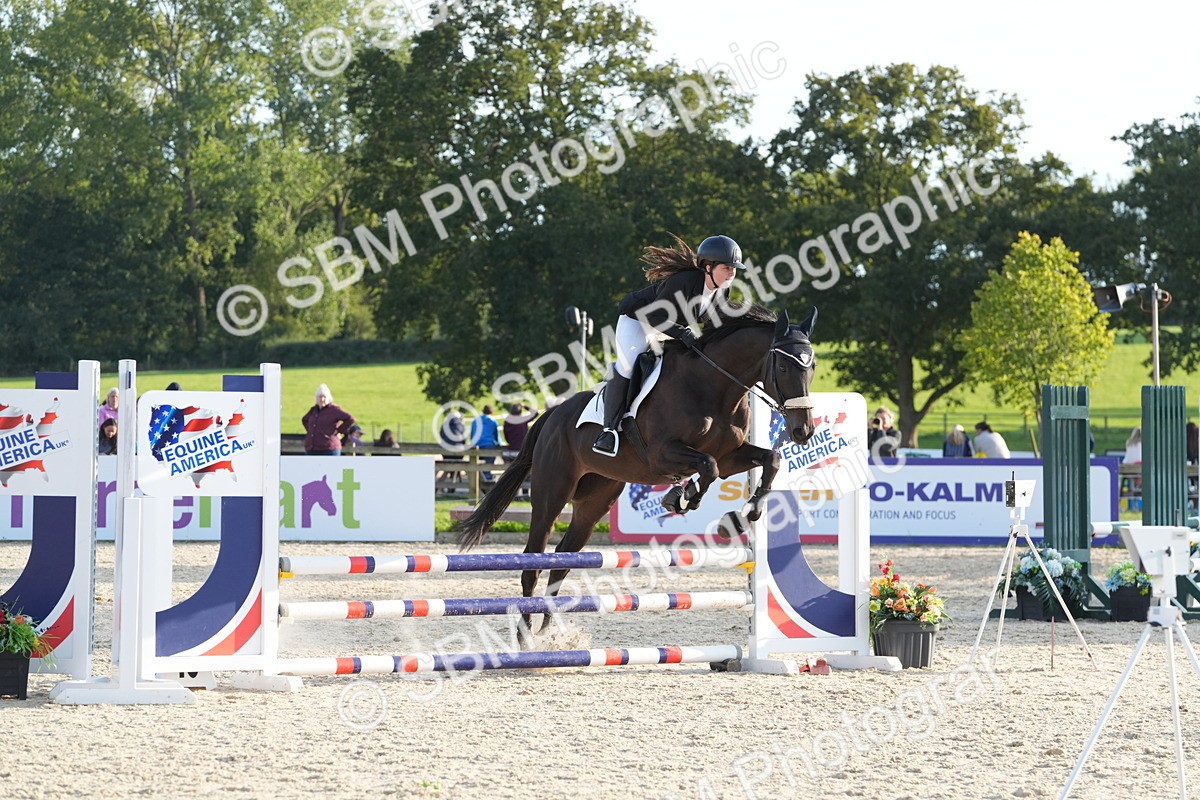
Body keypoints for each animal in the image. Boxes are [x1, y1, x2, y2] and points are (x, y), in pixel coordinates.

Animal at [455, 303, 818, 641]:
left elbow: (770, 459)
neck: (714, 388)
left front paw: (744, 516)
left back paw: (550, 631)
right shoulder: (664, 454)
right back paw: (526, 636)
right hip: (551, 494)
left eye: (811, 367)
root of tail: (553, 415)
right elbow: (707, 466)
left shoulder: (731, 456)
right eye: (783, 365)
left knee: (561, 560)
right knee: (533, 562)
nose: (803, 431)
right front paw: (681, 498)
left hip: (595, 501)